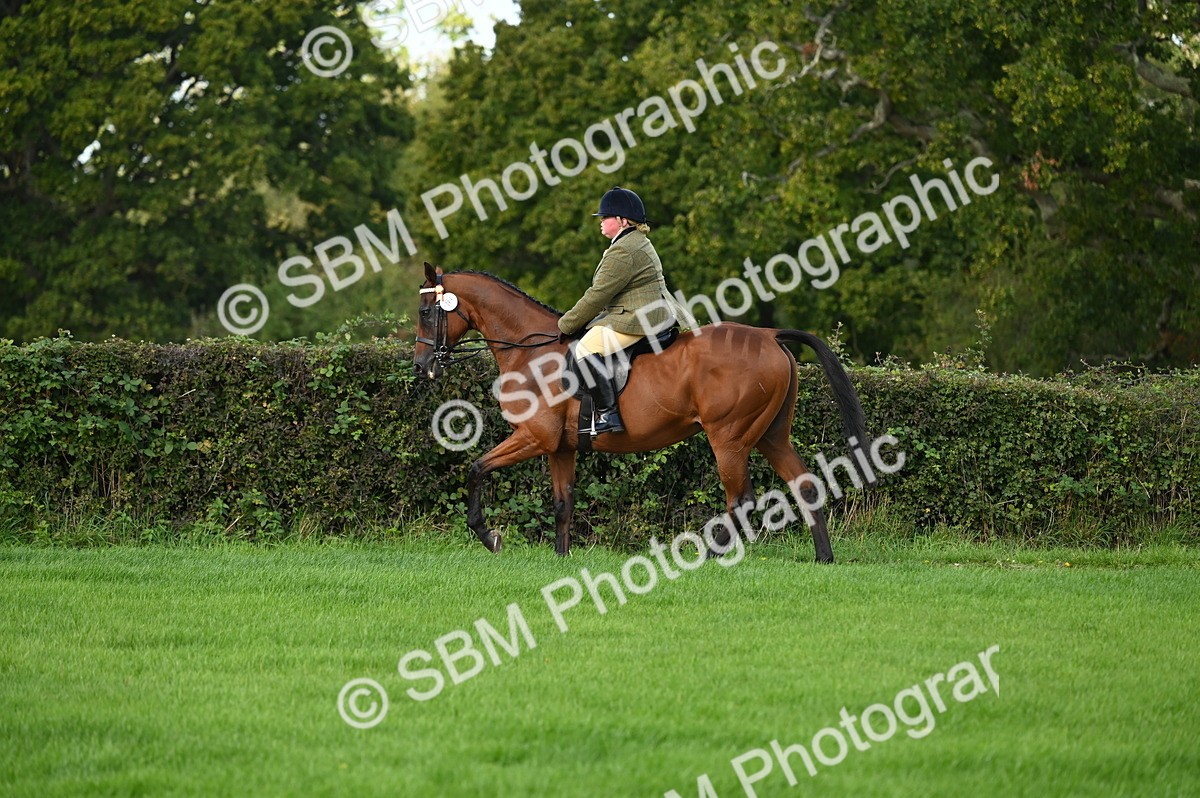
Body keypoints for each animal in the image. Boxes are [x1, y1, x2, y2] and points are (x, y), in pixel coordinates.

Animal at [413, 262, 868, 562]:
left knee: (742, 499)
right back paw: (823, 557)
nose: (421, 367)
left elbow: (476, 468)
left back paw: (707, 557)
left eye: (425, 312)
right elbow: (563, 503)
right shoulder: (559, 448)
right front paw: (561, 557)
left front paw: (488, 536)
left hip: (729, 438)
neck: (532, 351)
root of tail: (769, 335)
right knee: (804, 484)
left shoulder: (533, 438)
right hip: (771, 434)